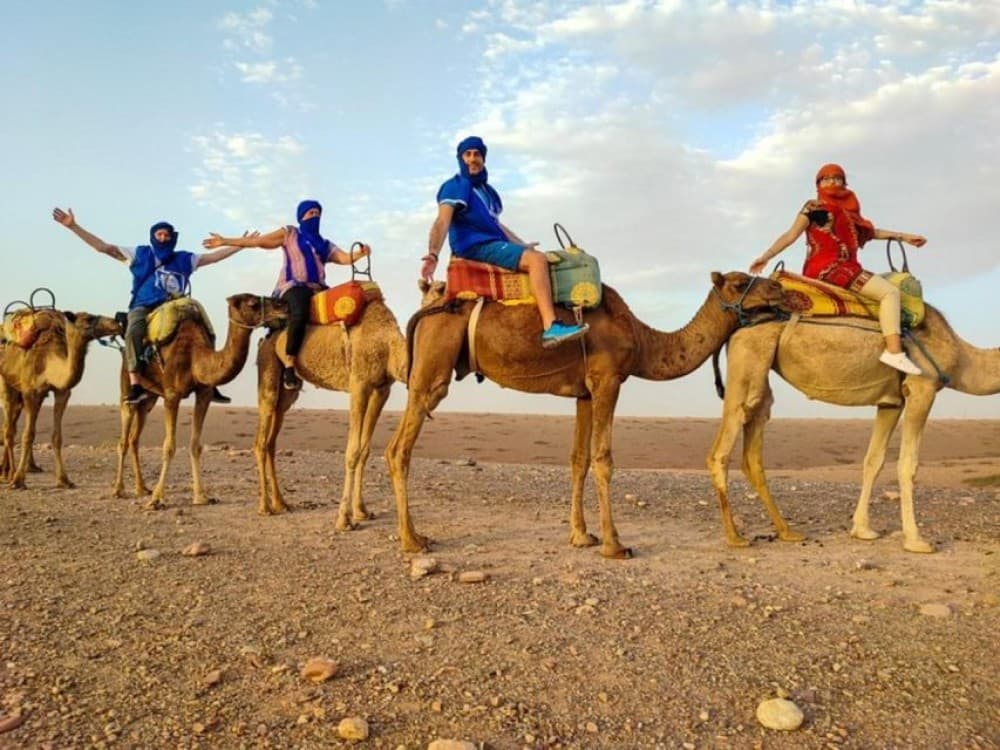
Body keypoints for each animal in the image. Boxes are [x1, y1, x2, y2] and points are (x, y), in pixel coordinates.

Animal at [1, 310, 121, 488]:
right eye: (88, 318)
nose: (116, 323)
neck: (48, 362)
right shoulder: (30, 392)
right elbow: (28, 435)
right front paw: (18, 480)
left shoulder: (61, 392)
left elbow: (56, 437)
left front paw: (64, 480)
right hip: (6, 382)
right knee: (9, 430)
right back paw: (10, 474)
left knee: (11, 425)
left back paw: (20, 469)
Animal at [113, 293, 287, 508]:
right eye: (252, 303)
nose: (283, 307)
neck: (194, 355)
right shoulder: (172, 395)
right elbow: (169, 446)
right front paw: (157, 498)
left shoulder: (203, 394)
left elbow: (196, 445)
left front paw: (201, 496)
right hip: (127, 384)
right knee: (124, 438)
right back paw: (119, 490)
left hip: (149, 399)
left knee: (134, 438)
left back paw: (141, 488)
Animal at [254, 289, 441, 528]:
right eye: (438, 290)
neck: (387, 345)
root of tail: (267, 337)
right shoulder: (359, 383)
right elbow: (352, 451)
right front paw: (344, 519)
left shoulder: (381, 389)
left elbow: (365, 451)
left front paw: (361, 511)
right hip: (268, 368)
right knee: (261, 440)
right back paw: (265, 507)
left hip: (287, 392)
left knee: (272, 438)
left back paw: (281, 503)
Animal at [385, 271, 786, 558]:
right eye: (739, 283)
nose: (779, 288)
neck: (642, 340)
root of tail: (428, 302)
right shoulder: (607, 380)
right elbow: (603, 458)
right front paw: (615, 544)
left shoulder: (584, 392)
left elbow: (579, 459)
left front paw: (581, 535)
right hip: (432, 370)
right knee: (398, 448)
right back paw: (412, 539)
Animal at [706, 304, 1000, 553]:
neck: (961, 356)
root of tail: (737, 329)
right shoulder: (921, 388)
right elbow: (908, 464)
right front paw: (916, 540)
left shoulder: (891, 402)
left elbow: (874, 460)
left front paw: (862, 530)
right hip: (748, 362)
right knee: (721, 450)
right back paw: (735, 537)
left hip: (758, 372)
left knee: (752, 448)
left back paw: (787, 532)